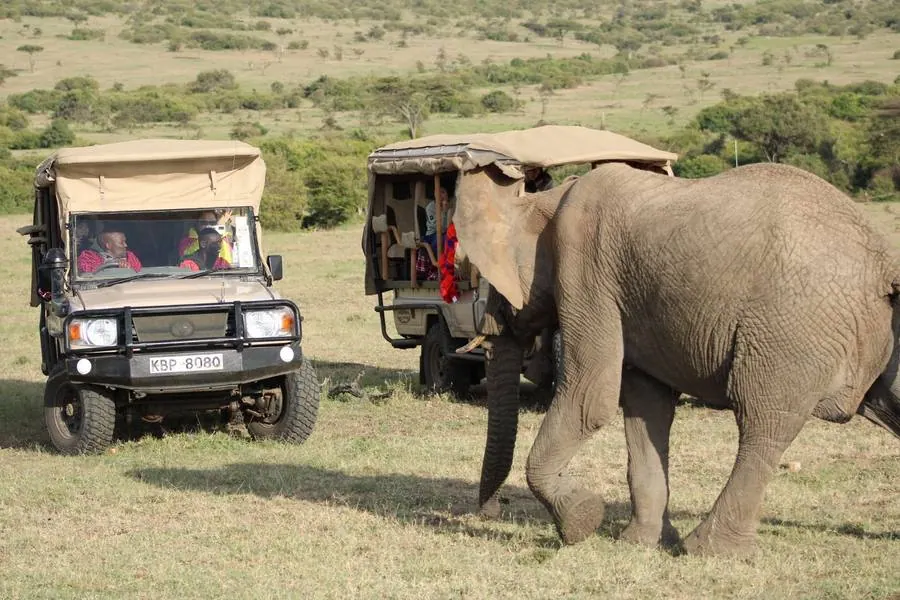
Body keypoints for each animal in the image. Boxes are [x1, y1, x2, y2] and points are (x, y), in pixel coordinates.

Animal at [451, 161, 900, 556]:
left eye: (494, 285)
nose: (489, 514)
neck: (546, 201)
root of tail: (882, 260)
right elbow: (645, 408)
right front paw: (638, 544)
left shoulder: (586, 269)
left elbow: (590, 397)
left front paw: (581, 523)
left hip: (790, 329)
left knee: (763, 423)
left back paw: (708, 550)